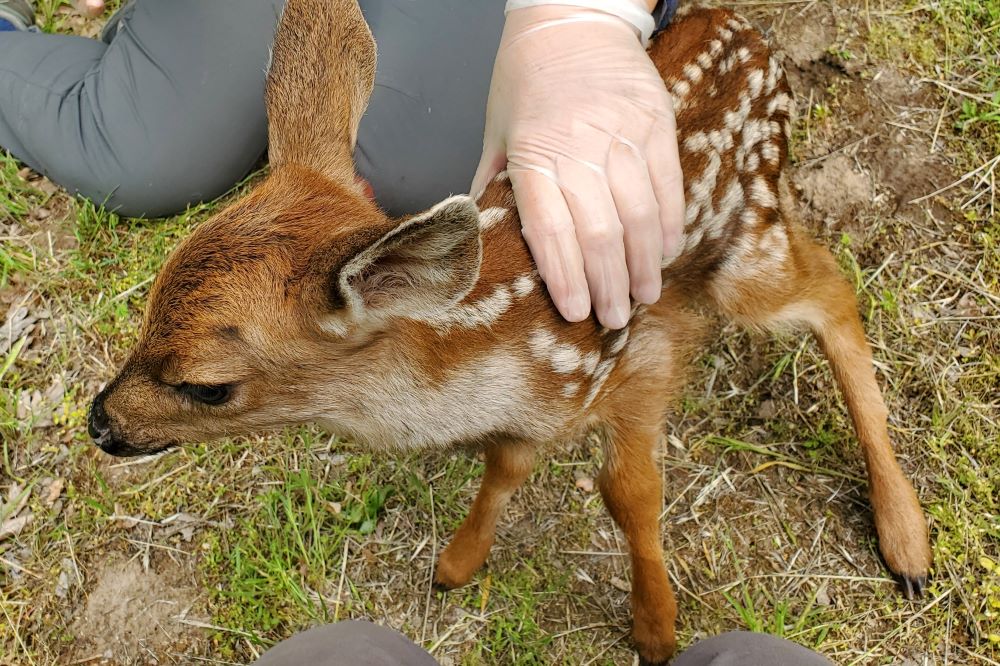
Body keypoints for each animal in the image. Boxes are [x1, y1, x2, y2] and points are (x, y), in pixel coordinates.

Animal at [86, 0, 928, 660]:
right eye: (148, 306)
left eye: (207, 386)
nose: (100, 422)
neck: (487, 358)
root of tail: (751, 33)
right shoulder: (530, 413)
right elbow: (506, 466)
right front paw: (456, 564)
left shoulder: (638, 357)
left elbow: (629, 493)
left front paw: (656, 629)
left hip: (745, 248)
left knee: (833, 291)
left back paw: (908, 544)